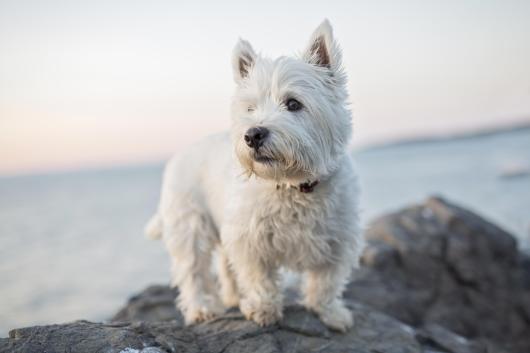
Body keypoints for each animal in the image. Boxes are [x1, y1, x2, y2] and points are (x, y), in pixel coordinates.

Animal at [145, 20, 364, 332]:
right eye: (250, 108)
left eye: (293, 103)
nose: (253, 135)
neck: (291, 184)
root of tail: (179, 154)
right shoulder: (249, 239)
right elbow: (259, 277)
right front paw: (263, 310)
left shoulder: (338, 239)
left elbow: (326, 281)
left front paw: (330, 313)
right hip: (189, 224)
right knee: (193, 270)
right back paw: (202, 309)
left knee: (223, 266)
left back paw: (233, 298)